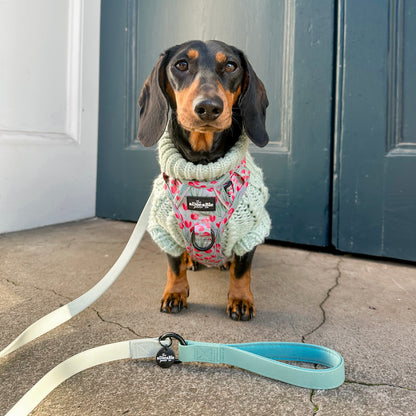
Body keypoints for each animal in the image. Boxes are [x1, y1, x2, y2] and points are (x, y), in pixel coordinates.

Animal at [137, 39, 270, 322]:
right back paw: (192, 260)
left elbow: (242, 271)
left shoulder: (252, 229)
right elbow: (174, 265)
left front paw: (240, 300)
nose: (208, 107)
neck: (202, 167)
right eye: (181, 64)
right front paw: (175, 293)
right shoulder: (165, 230)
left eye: (230, 65)